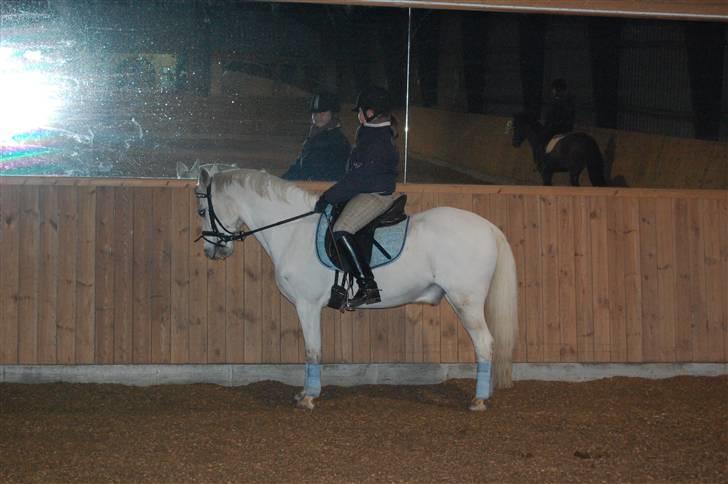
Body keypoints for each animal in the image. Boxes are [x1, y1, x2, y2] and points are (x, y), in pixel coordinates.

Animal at [194, 168, 518, 411]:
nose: (212, 251)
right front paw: (304, 394)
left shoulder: (307, 304)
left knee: (484, 343)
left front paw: (308, 397)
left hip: (466, 301)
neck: (293, 231)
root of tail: (490, 228)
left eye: (201, 210)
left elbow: (312, 349)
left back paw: (478, 400)